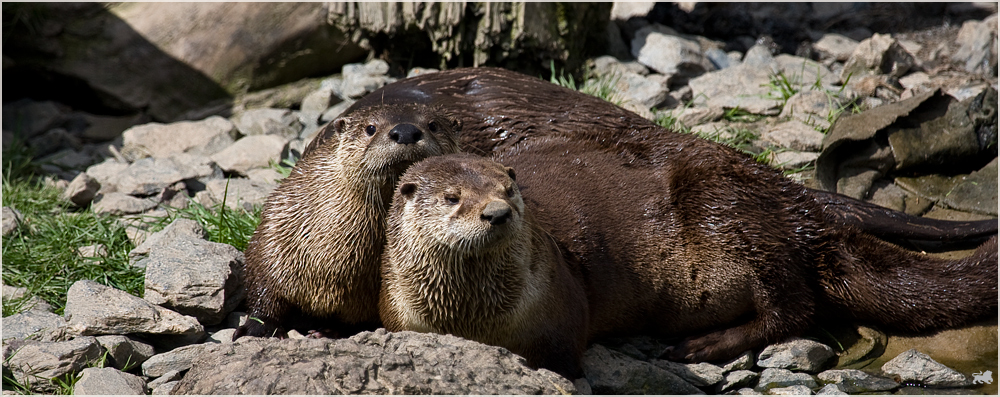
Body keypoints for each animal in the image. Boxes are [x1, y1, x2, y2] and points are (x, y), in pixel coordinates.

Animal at [235, 102, 464, 338]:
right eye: (370, 128)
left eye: (433, 125)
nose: (406, 131)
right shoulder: (275, 230)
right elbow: (262, 285)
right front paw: (260, 326)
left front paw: (328, 330)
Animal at [378, 145, 996, 378]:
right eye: (452, 197)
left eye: (510, 187)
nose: (498, 212)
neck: (475, 322)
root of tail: (803, 212)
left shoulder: (561, 315)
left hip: (729, 213)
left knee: (794, 306)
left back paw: (703, 345)